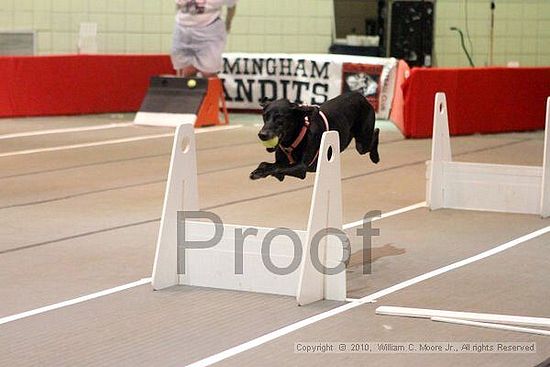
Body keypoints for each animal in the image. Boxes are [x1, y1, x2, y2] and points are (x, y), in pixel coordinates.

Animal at [250, 92, 380, 181]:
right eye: (264, 116)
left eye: (279, 118)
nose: (262, 135)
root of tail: (360, 95)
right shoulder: (281, 166)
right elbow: (268, 165)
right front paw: (259, 170)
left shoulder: (302, 168)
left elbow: (277, 168)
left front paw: (260, 173)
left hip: (362, 142)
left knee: (375, 133)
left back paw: (375, 157)